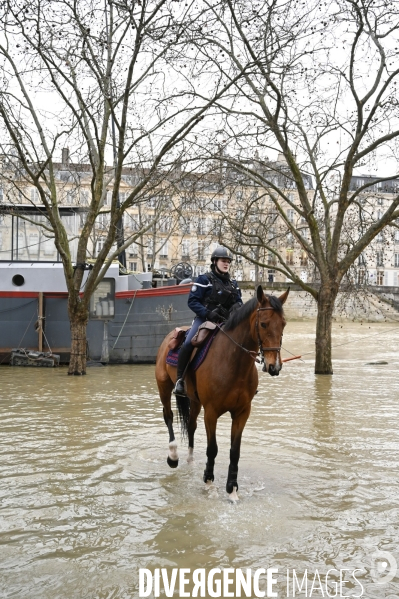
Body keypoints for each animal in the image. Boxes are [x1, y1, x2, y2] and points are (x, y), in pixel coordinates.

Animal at [155, 286, 290, 502]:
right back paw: (173, 456)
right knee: (168, 416)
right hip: (164, 387)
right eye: (263, 323)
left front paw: (232, 489)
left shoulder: (242, 412)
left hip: (195, 400)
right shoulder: (211, 412)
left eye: (283, 324)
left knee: (191, 425)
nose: (274, 366)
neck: (233, 362)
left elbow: (235, 451)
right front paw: (209, 482)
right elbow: (213, 448)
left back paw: (190, 459)